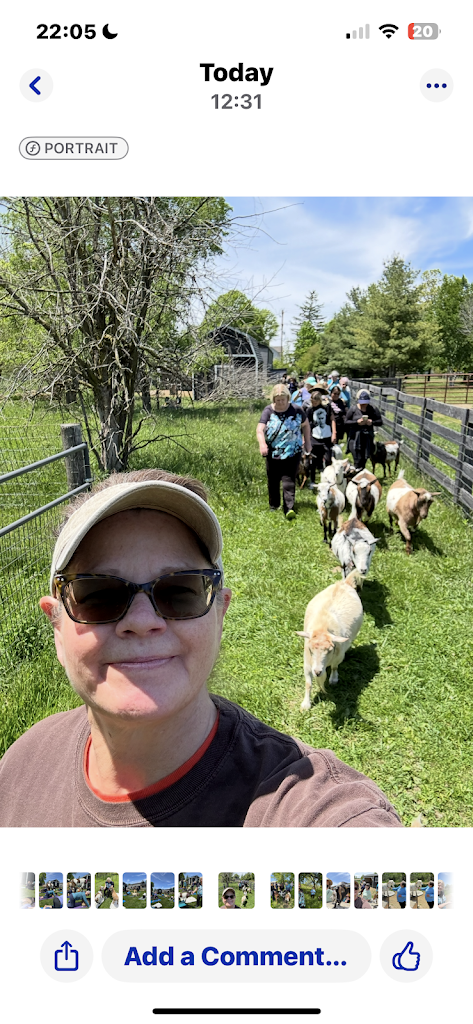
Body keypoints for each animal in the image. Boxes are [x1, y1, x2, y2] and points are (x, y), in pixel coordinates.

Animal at [297, 569, 364, 710]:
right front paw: (306, 705)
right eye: (310, 650)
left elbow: (334, 667)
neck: (322, 627)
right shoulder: (307, 663)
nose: (317, 672)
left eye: (329, 650)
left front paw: (333, 679)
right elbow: (308, 684)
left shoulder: (338, 655)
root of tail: (344, 583)